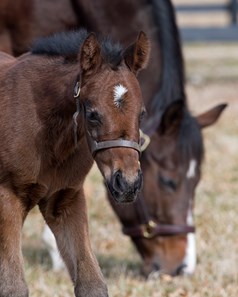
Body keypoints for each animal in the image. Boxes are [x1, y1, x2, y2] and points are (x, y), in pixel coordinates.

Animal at [0, 30, 150, 296]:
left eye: (141, 114)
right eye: (92, 114)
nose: (128, 184)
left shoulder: (66, 199)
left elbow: (92, 283)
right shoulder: (8, 195)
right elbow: (13, 286)